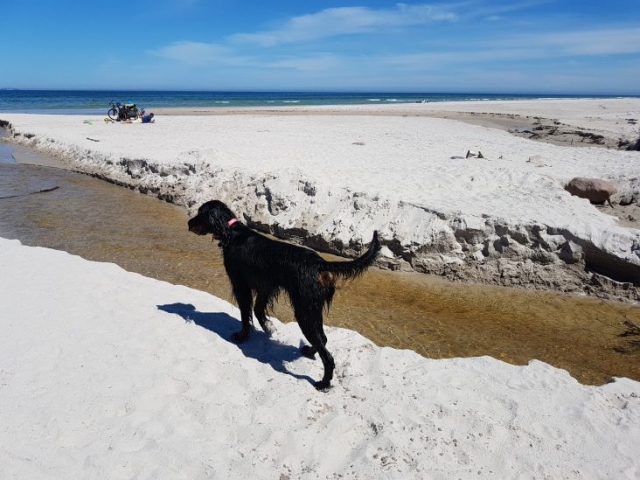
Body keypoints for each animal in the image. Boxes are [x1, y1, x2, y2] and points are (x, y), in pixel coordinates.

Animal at [189, 199, 380, 390]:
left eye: (200, 213)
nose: (189, 223)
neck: (232, 233)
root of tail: (320, 264)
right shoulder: (266, 286)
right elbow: (258, 310)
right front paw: (268, 327)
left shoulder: (241, 286)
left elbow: (245, 315)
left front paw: (242, 336)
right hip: (312, 309)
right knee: (323, 339)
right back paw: (309, 351)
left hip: (304, 311)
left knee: (327, 356)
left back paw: (323, 383)